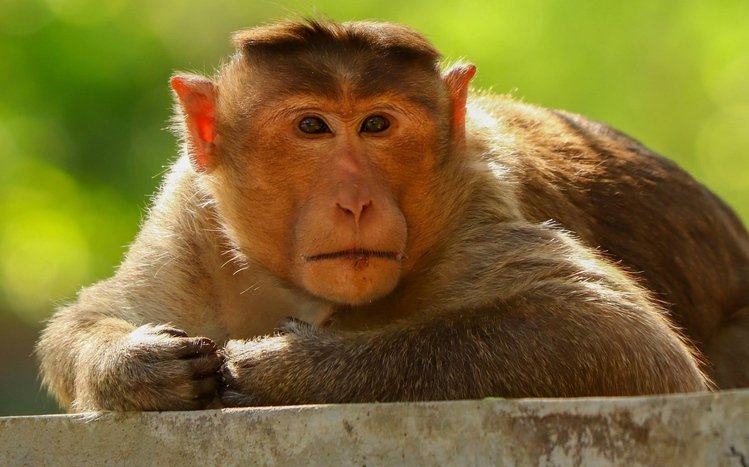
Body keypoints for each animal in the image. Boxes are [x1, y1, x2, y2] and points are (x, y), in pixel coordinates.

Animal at [36, 19, 749, 412]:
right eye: (313, 127)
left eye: (377, 124)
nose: (356, 201)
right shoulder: (192, 211)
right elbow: (100, 309)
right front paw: (138, 365)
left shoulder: (472, 205)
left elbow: (618, 335)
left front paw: (287, 370)